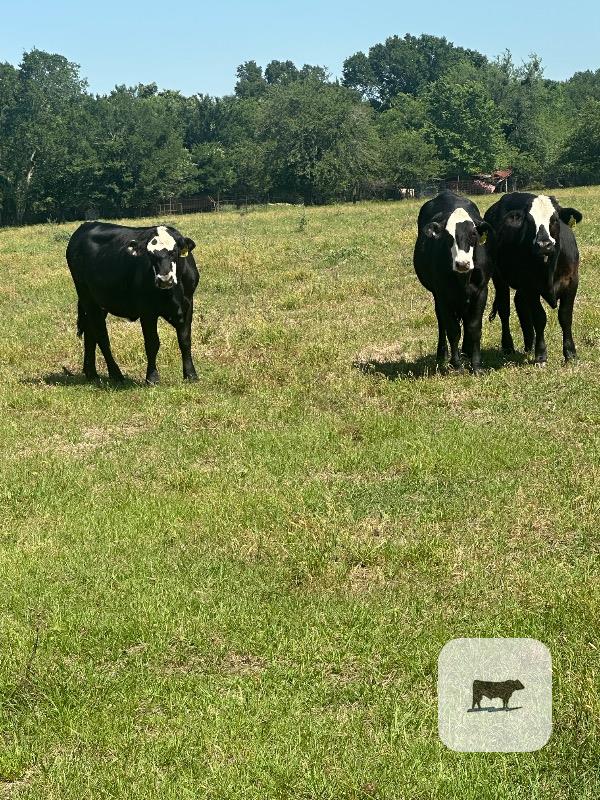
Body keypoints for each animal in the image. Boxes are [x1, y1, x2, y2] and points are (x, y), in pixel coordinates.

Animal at [66, 222, 199, 384]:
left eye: (174, 252)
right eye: (150, 255)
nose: (164, 279)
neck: (173, 293)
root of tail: (86, 225)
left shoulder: (188, 305)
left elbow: (185, 340)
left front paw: (191, 375)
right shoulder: (147, 311)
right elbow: (152, 343)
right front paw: (152, 377)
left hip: (98, 302)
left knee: (90, 332)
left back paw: (92, 374)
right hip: (87, 297)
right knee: (101, 335)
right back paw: (116, 374)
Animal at [413, 191, 495, 373]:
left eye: (473, 234)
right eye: (448, 237)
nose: (462, 263)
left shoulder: (481, 292)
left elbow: (474, 327)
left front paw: (476, 365)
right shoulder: (443, 295)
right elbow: (453, 330)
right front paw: (456, 365)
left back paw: (466, 351)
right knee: (442, 322)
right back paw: (443, 354)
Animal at [484, 193, 583, 364]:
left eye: (555, 219)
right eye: (529, 221)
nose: (544, 244)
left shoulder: (571, 282)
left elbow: (565, 316)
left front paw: (570, 354)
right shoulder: (530, 286)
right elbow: (539, 318)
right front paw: (541, 355)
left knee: (520, 303)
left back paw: (529, 343)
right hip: (498, 277)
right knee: (504, 309)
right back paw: (508, 346)